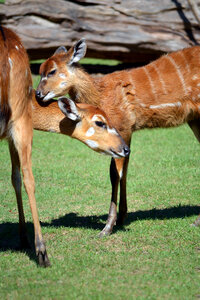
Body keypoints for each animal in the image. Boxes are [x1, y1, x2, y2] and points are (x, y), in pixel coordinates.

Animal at [36, 39, 200, 237]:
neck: (100, 94)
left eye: (52, 71)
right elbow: (125, 171)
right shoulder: (126, 134)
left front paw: (107, 228)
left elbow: (115, 174)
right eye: (40, 70)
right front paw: (121, 218)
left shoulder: (122, 128)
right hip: (194, 119)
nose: (37, 94)